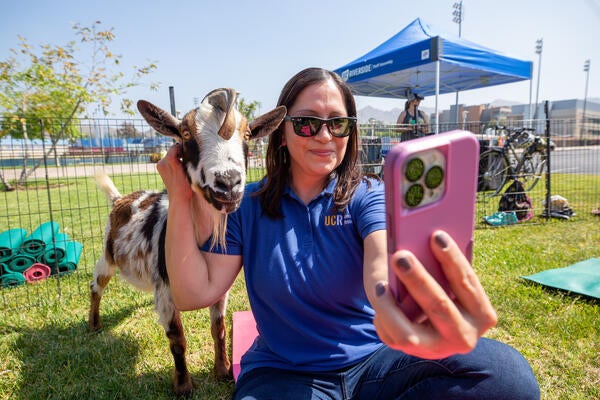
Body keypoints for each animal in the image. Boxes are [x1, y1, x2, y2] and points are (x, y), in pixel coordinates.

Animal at [89, 86, 286, 394]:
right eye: (184, 133)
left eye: (247, 134)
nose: (228, 183)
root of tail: (120, 199)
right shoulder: (167, 292)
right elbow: (177, 340)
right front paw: (183, 386)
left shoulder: (219, 290)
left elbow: (219, 329)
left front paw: (223, 371)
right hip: (107, 255)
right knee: (96, 286)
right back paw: (94, 325)